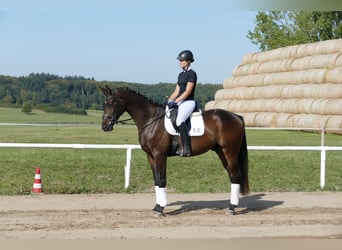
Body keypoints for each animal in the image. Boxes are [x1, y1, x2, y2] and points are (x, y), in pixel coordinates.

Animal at [99, 86, 248, 215]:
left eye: (113, 102)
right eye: (104, 103)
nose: (105, 126)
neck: (151, 120)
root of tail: (237, 117)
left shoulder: (160, 155)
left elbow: (162, 180)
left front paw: (160, 209)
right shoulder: (150, 156)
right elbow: (156, 181)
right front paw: (156, 207)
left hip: (230, 152)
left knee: (236, 175)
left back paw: (232, 208)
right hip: (221, 152)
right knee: (232, 175)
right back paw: (231, 206)